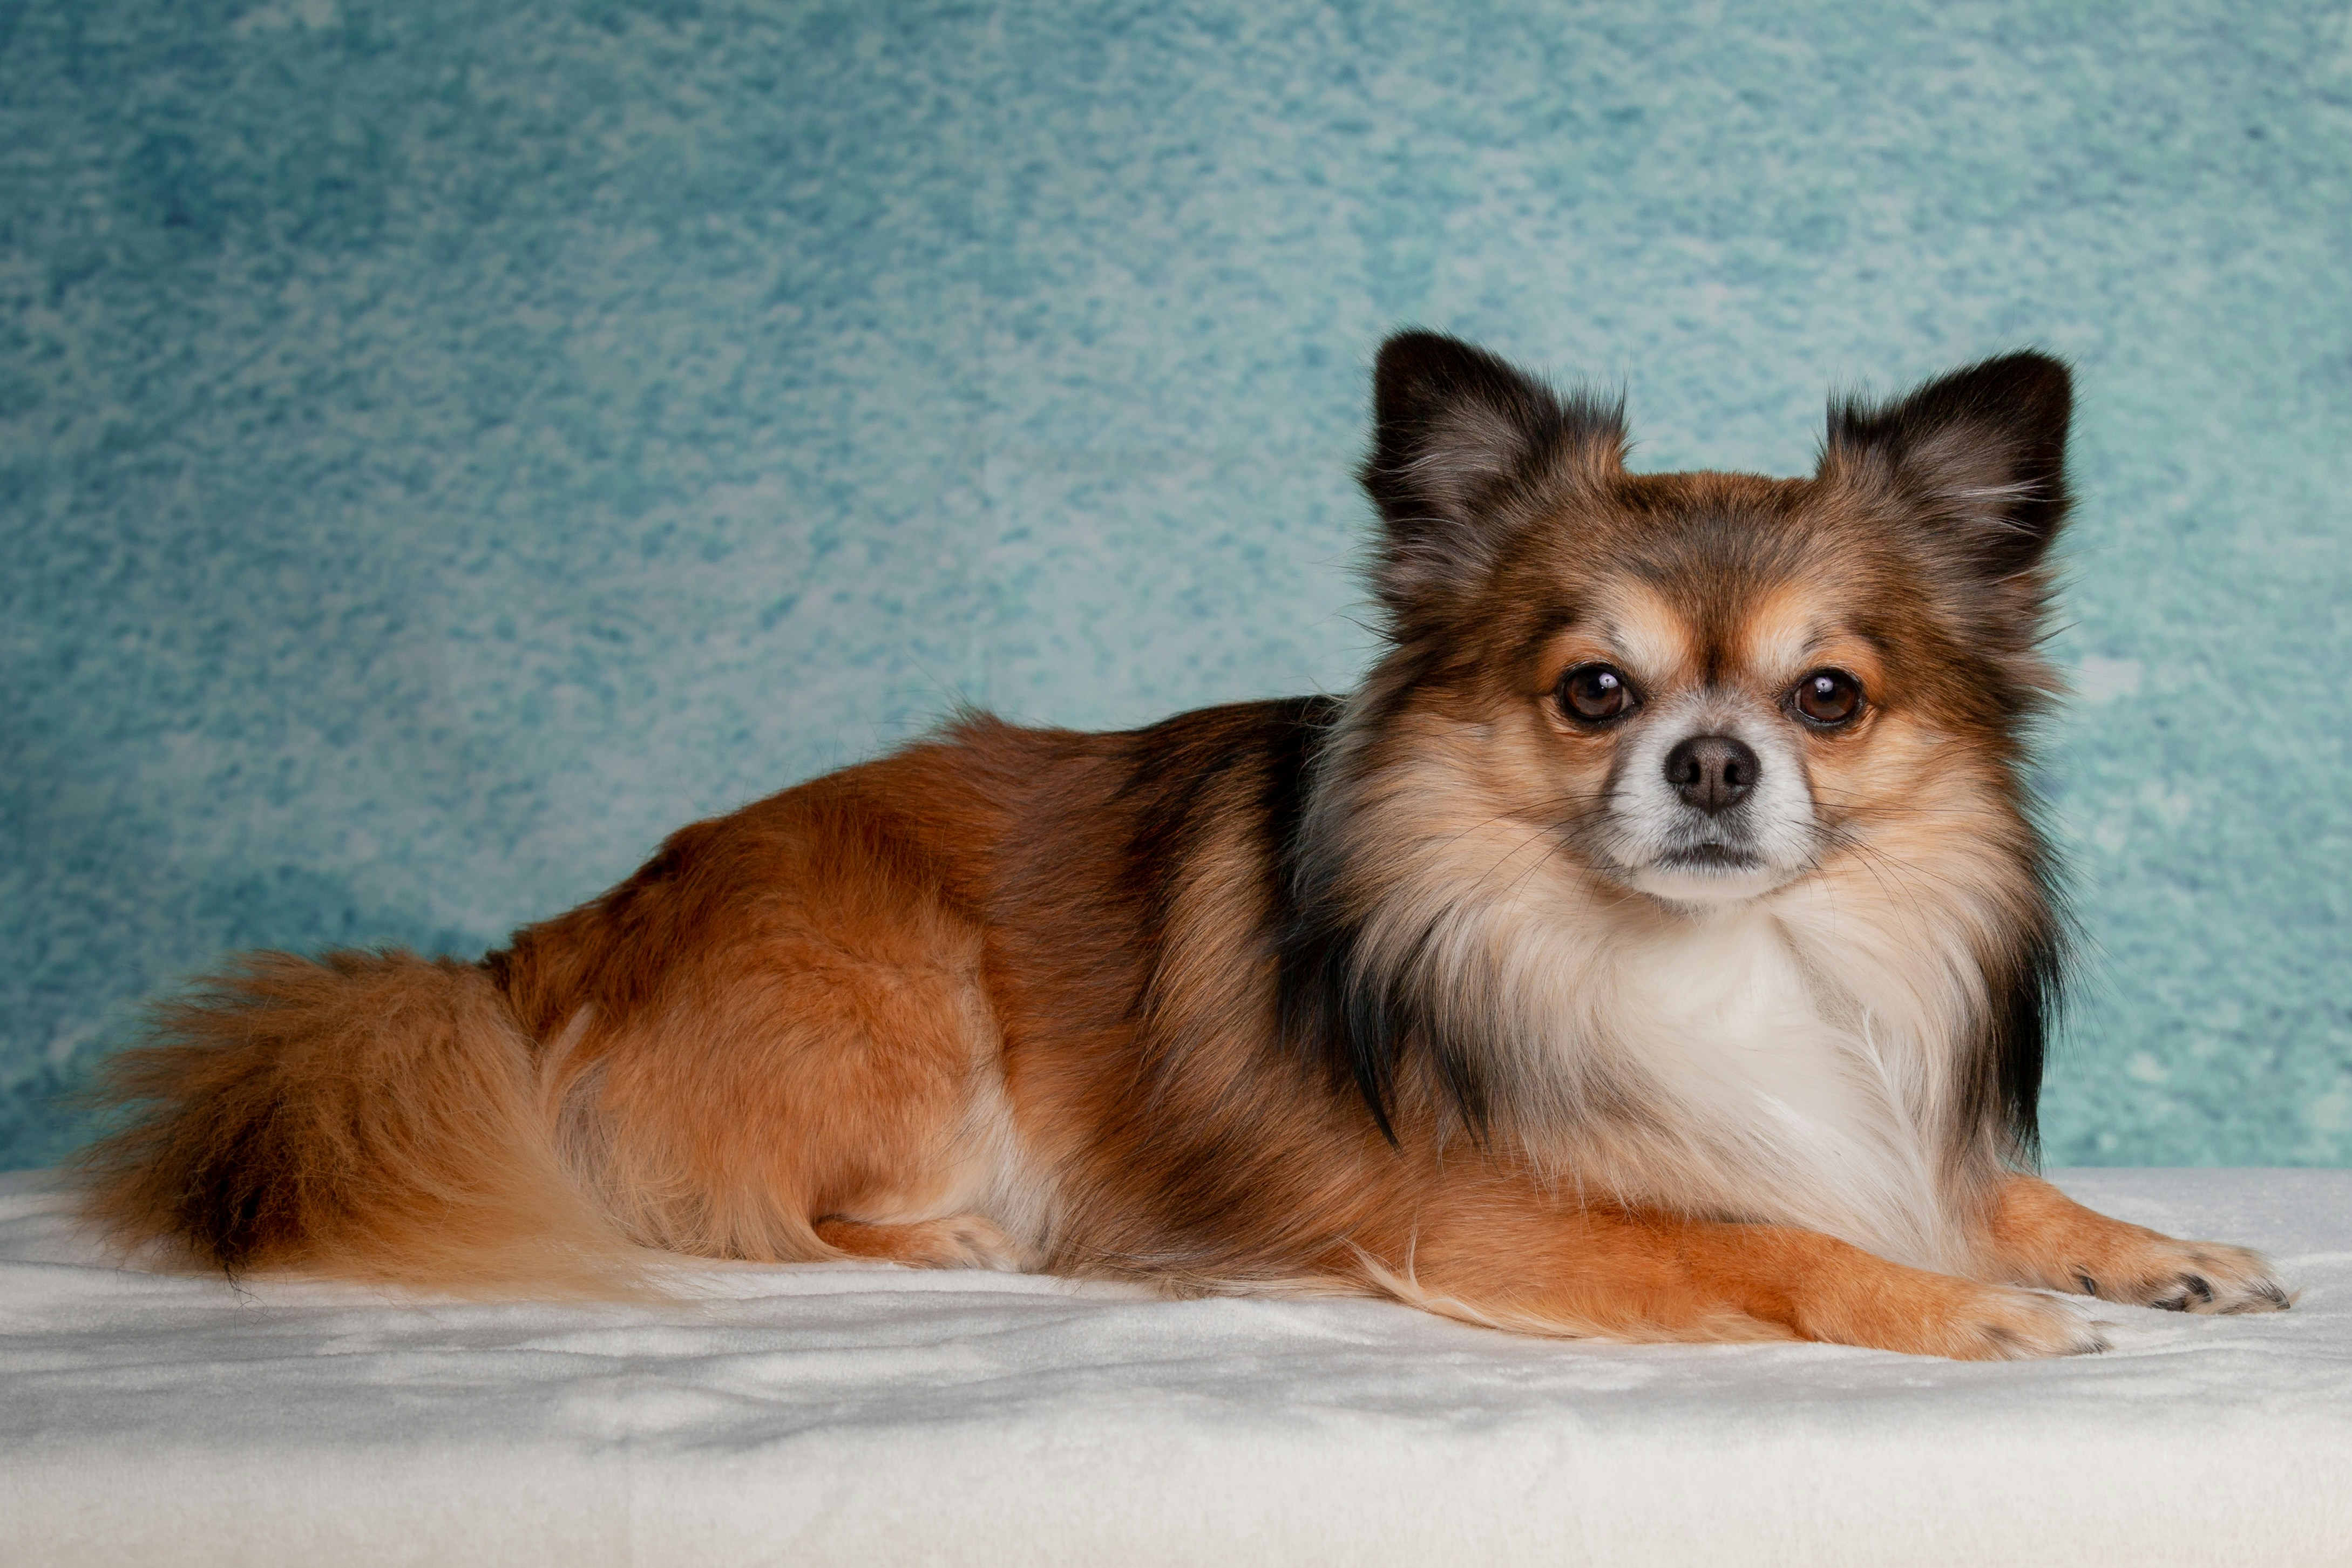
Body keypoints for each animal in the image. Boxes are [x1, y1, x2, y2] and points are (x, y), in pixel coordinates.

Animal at [83, 334, 2286, 1363]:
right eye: (1594, 691)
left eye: (1828, 697)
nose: (1718, 761)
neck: (1708, 965)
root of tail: (534, 947)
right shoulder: (1474, 1214)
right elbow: (1752, 1239)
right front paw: (1961, 1307)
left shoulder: (1854, 1109)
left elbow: (1977, 1187)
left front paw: (2144, 1245)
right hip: (897, 1004)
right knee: (730, 1203)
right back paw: (966, 1239)